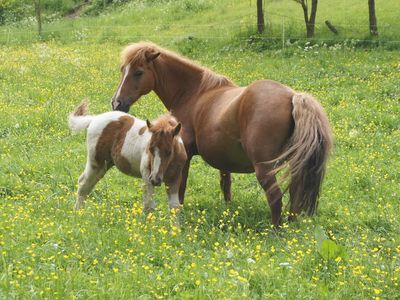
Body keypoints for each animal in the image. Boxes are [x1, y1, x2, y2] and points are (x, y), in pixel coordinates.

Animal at [111, 41, 332, 225]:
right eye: (123, 70)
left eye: (138, 72)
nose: (117, 103)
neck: (194, 92)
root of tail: (292, 96)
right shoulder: (224, 161)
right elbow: (226, 186)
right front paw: (228, 211)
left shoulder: (184, 155)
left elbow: (180, 188)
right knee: (295, 196)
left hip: (264, 168)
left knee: (275, 197)